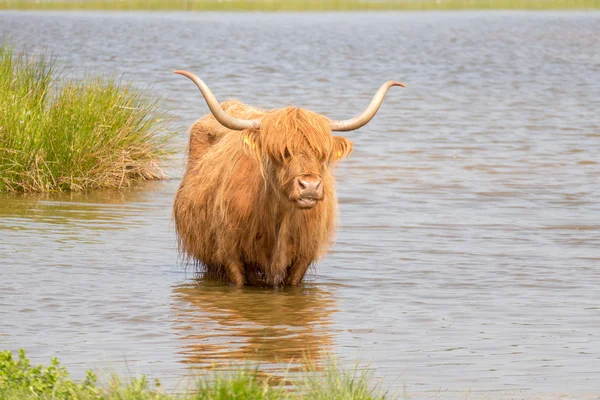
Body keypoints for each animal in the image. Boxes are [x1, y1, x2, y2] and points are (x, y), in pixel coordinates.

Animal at [171, 70, 404, 286]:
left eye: (322, 154)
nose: (309, 186)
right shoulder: (230, 254)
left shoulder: (304, 258)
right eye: (282, 152)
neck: (280, 221)